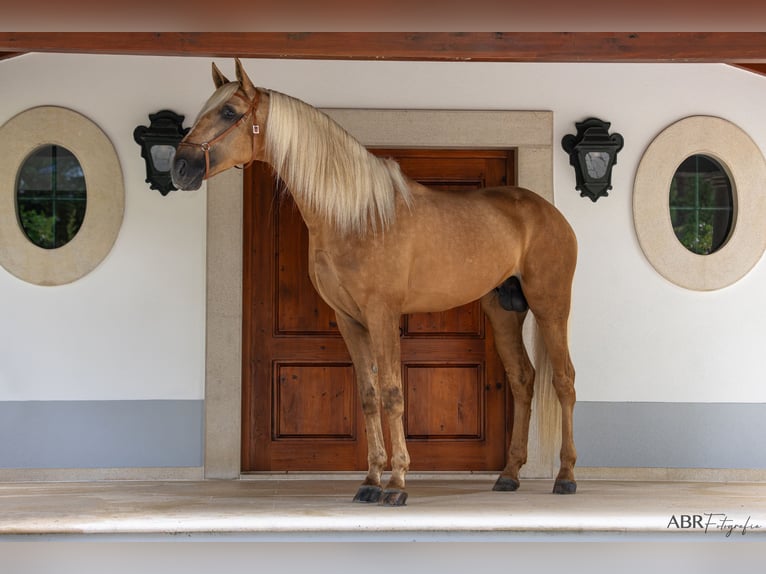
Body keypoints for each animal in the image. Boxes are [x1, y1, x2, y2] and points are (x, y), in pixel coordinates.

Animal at [174, 59, 580, 508]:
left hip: (550, 306)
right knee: (523, 379)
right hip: (504, 310)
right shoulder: (349, 318)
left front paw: (398, 483)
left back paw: (566, 477)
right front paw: (370, 481)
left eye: (229, 112)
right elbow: (369, 397)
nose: (180, 167)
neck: (356, 214)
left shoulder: (382, 313)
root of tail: (549, 213)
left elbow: (392, 392)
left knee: (564, 381)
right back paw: (508, 475)